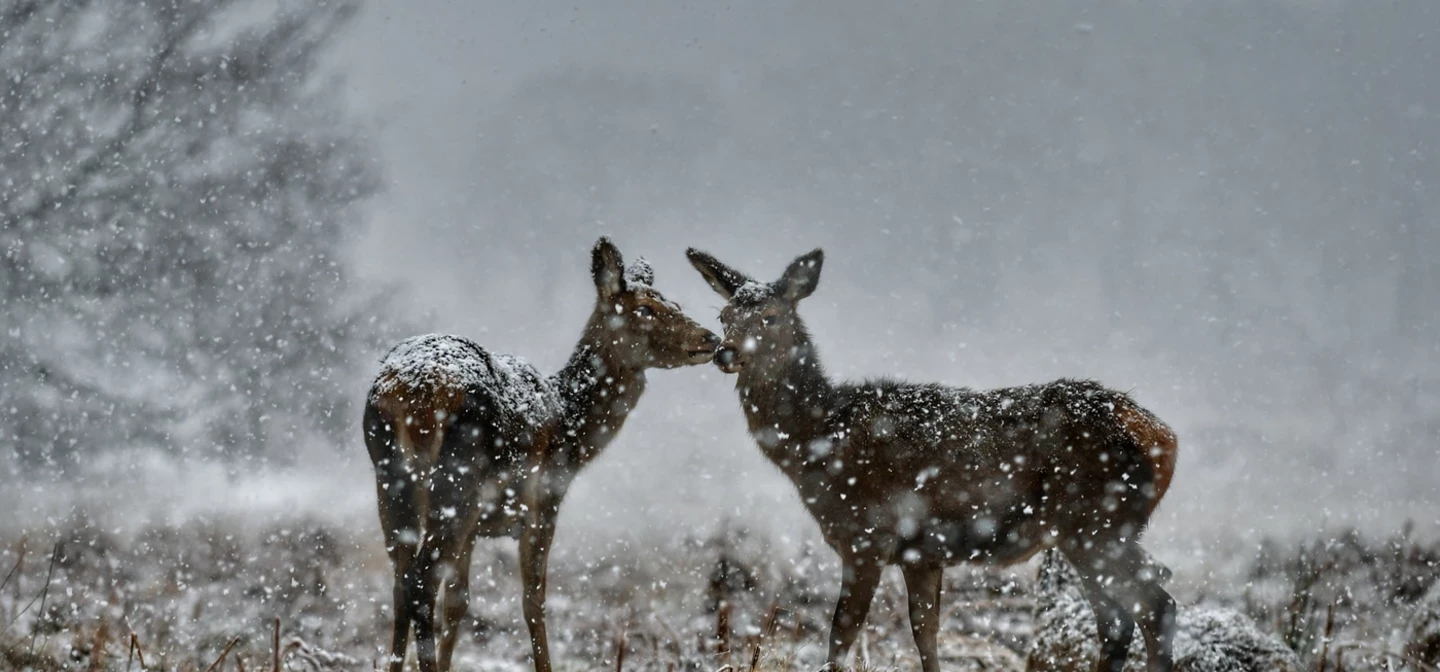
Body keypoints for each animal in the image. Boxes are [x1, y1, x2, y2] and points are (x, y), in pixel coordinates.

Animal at [362, 237, 717, 672]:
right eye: (646, 309)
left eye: (676, 303)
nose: (710, 338)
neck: (570, 429)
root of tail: (413, 392)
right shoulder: (543, 502)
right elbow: (534, 600)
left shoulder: (476, 530)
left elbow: (458, 602)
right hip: (457, 482)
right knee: (420, 582)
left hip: (391, 479)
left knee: (401, 584)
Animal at [688, 247, 1180, 672]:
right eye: (723, 317)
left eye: (770, 317)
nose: (724, 352)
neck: (822, 440)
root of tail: (1162, 436)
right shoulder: (922, 553)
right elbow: (925, 631)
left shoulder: (868, 534)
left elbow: (842, 633)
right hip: (1092, 531)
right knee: (1117, 620)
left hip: (1096, 522)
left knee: (1156, 605)